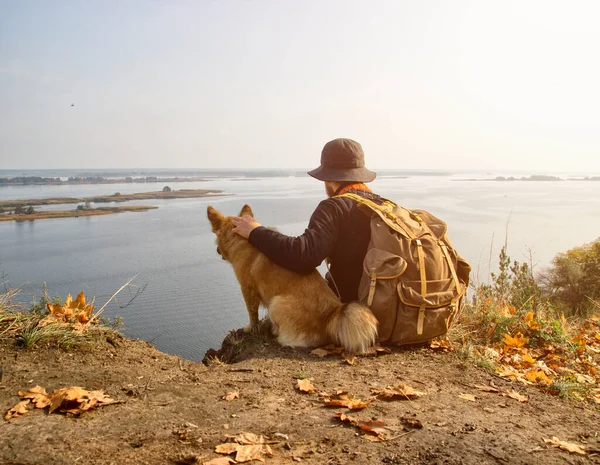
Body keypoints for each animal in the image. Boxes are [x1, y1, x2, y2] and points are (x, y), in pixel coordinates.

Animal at [205, 203, 376, 352]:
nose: (217, 250)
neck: (240, 239)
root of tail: (331, 315)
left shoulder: (247, 289)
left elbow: (252, 314)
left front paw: (250, 328)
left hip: (276, 303)